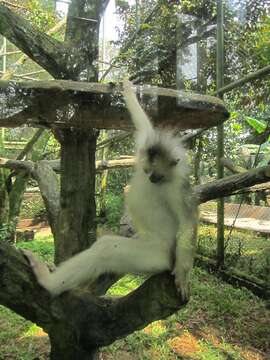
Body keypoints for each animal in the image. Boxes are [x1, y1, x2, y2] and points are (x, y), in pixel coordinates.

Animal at [23, 81, 197, 300]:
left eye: (157, 176)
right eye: (147, 171)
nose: (150, 177)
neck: (160, 181)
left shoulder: (176, 187)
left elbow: (187, 222)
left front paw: (183, 273)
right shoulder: (147, 145)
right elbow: (143, 124)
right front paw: (128, 88)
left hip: (156, 256)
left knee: (105, 249)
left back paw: (49, 282)